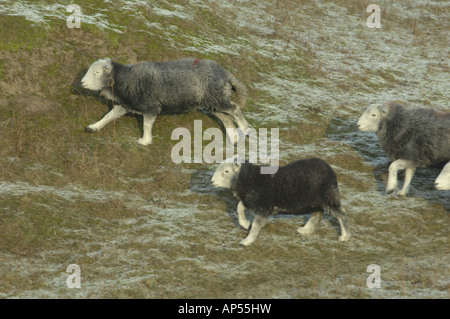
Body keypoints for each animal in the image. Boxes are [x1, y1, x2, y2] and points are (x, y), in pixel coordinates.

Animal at [81, 58, 250, 146]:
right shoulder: (125, 104)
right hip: (212, 101)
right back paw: (234, 138)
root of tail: (223, 72)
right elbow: (108, 116)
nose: (82, 83)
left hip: (217, 98)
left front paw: (145, 141)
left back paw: (246, 129)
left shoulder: (151, 107)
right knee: (226, 118)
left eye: (97, 72)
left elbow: (147, 125)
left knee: (234, 109)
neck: (126, 79)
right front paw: (93, 127)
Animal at [211, 156, 352, 246]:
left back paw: (345, 236)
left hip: (329, 196)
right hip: (313, 201)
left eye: (226, 171)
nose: (212, 181)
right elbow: (239, 207)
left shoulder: (263, 207)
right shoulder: (251, 201)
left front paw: (247, 240)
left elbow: (255, 225)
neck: (252, 179)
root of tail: (329, 169)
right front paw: (245, 224)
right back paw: (306, 230)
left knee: (341, 213)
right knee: (318, 214)